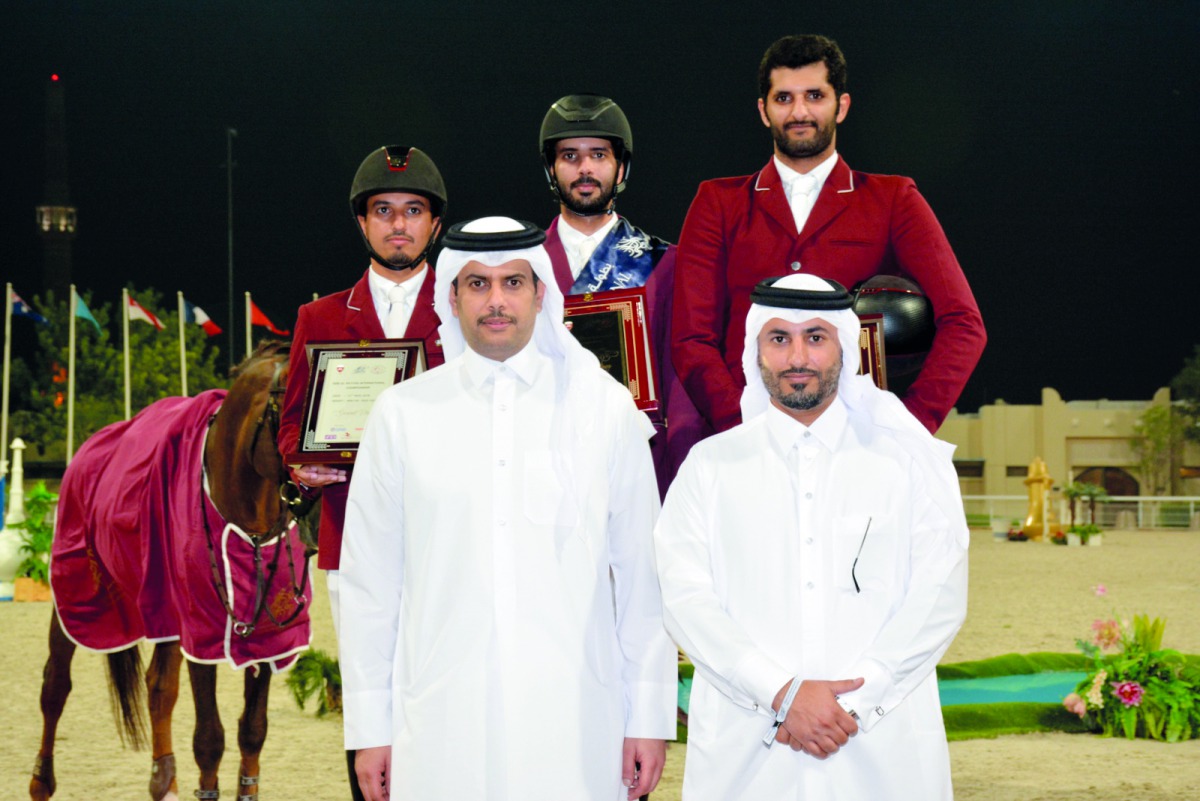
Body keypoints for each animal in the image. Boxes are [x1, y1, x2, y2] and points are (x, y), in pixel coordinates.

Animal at [32, 340, 314, 796]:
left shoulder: (269, 638)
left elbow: (252, 731)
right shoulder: (202, 632)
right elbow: (209, 740)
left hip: (162, 609)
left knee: (158, 687)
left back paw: (163, 781)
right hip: (77, 597)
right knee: (55, 685)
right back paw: (41, 782)